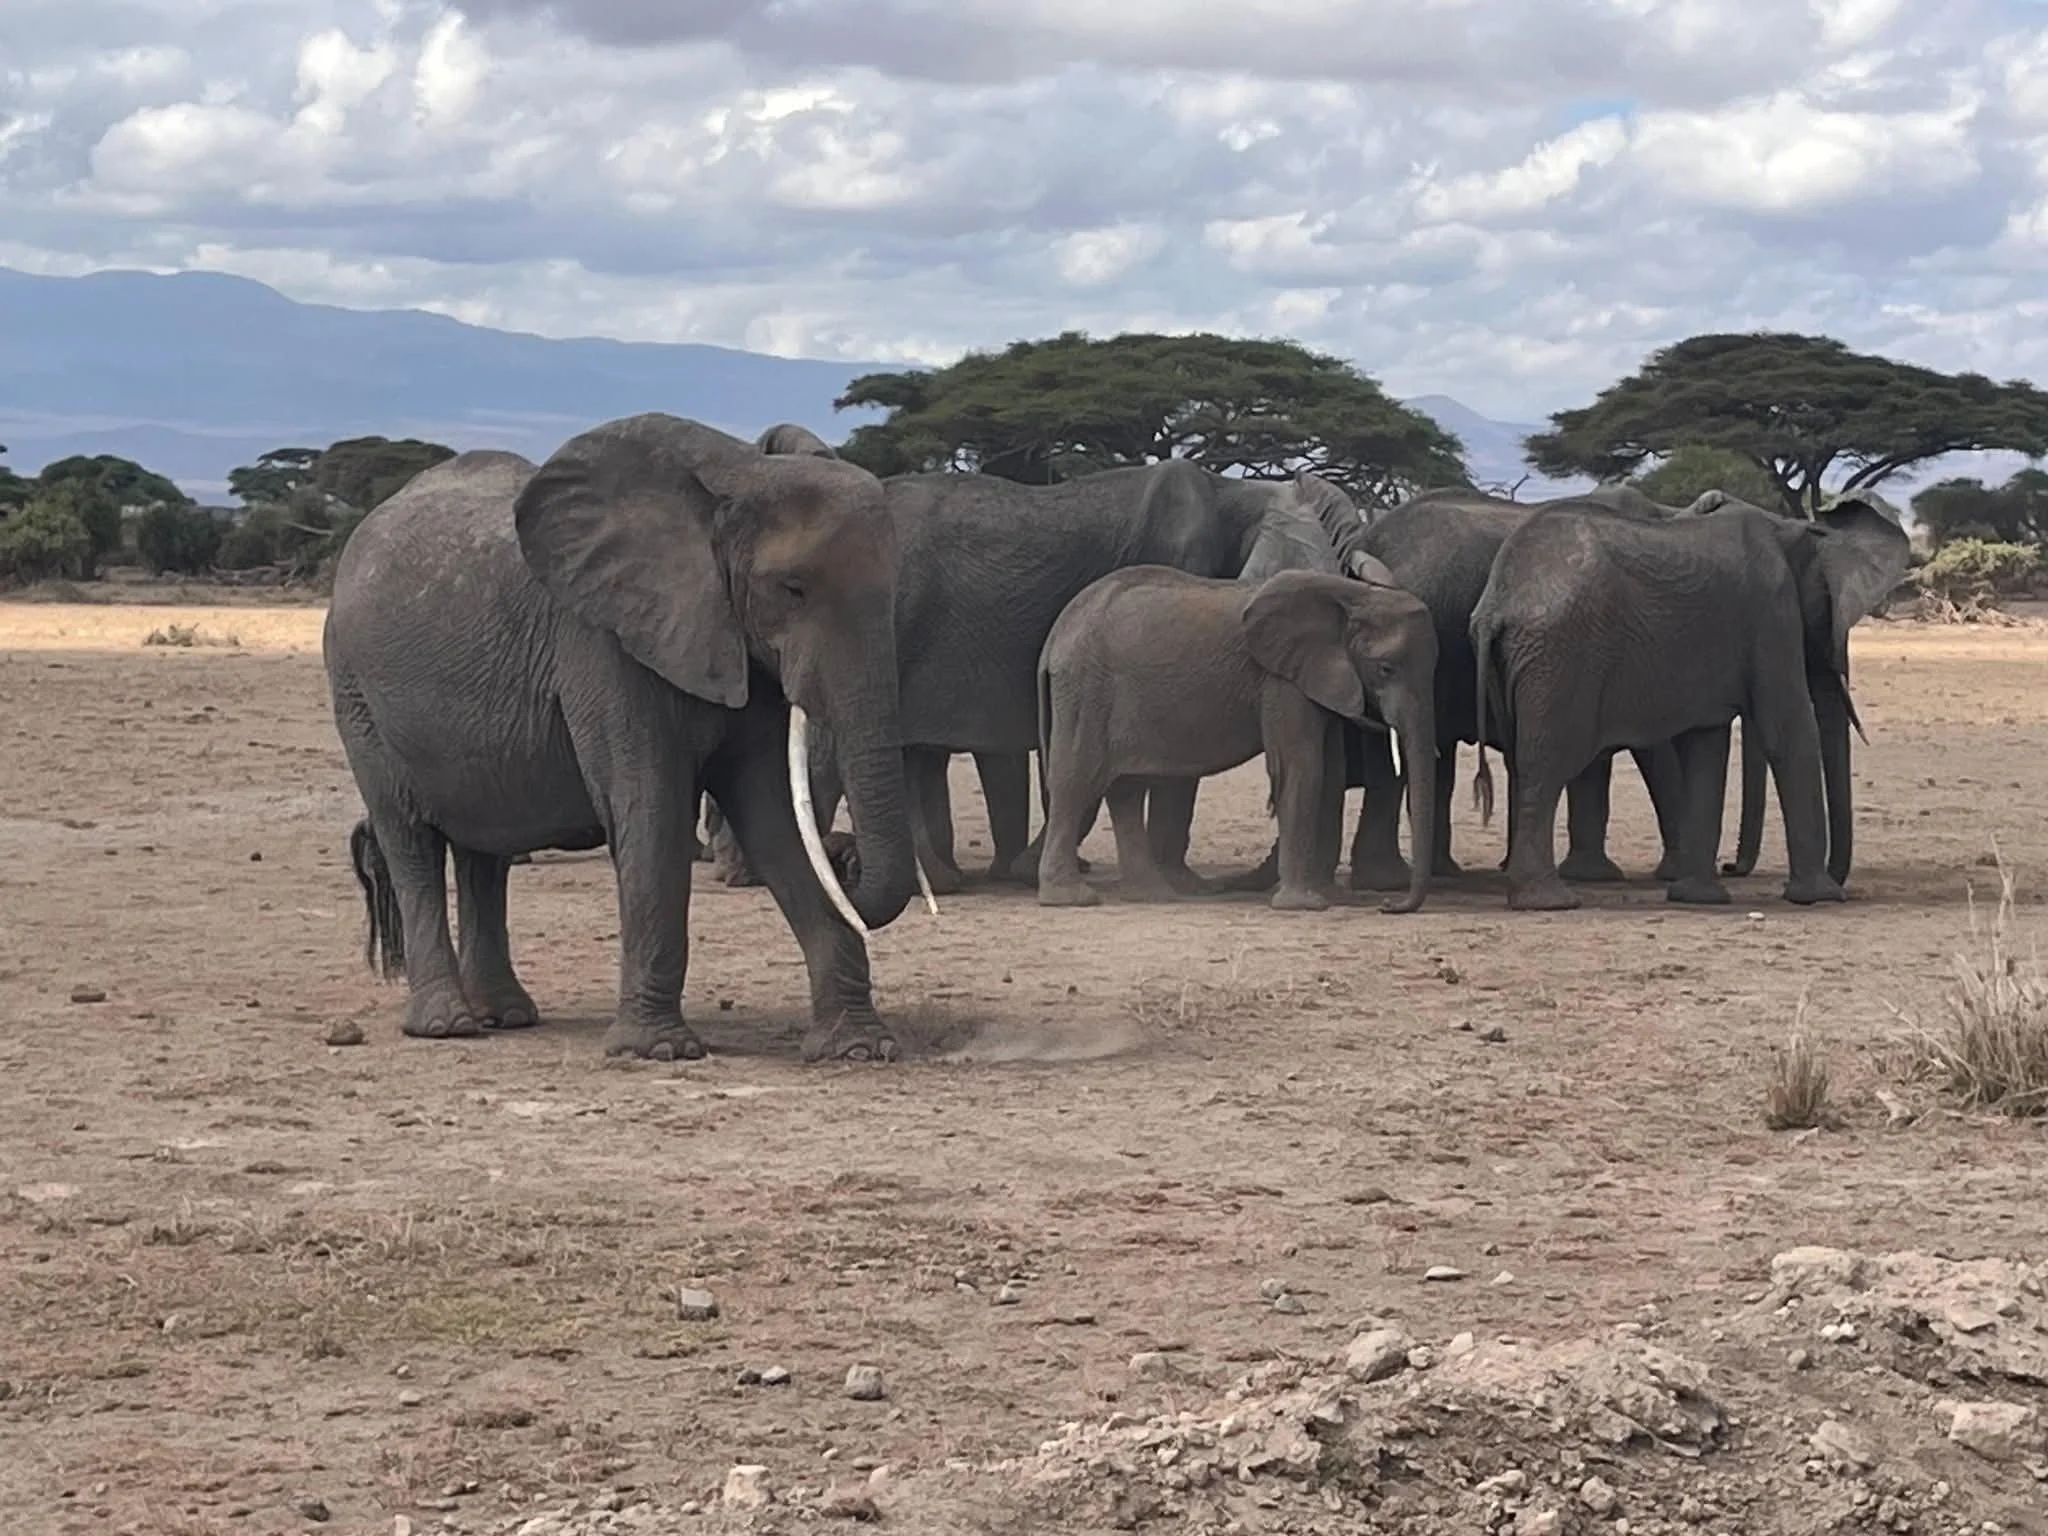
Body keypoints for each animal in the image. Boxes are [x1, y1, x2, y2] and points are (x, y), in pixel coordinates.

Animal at [323, 414, 923, 1063]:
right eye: (792, 588)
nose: (848, 859)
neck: (736, 476)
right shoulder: (602, 642)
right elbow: (650, 808)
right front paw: (658, 1051)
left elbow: (774, 816)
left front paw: (859, 1049)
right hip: (356, 695)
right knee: (410, 840)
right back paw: (447, 1025)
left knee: (485, 854)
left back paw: (505, 1016)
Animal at [1036, 566, 1438, 912]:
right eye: (1385, 669)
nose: (1388, 905)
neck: (1354, 594)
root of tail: (1054, 637)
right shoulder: (1281, 679)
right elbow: (1303, 767)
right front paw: (1304, 905)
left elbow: (1331, 772)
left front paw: (1332, 898)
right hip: (1087, 690)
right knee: (1075, 783)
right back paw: (1070, 898)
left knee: (1126, 789)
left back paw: (1153, 895)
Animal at [1468, 494, 1909, 909]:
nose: (1730, 866)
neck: (1795, 531)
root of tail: (1497, 603)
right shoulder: (1772, 611)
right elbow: (1788, 729)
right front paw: (1819, 898)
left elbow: (1705, 746)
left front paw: (1698, 897)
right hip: (1561, 657)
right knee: (1548, 764)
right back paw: (1550, 901)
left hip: (1525, 660)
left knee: (1526, 763)